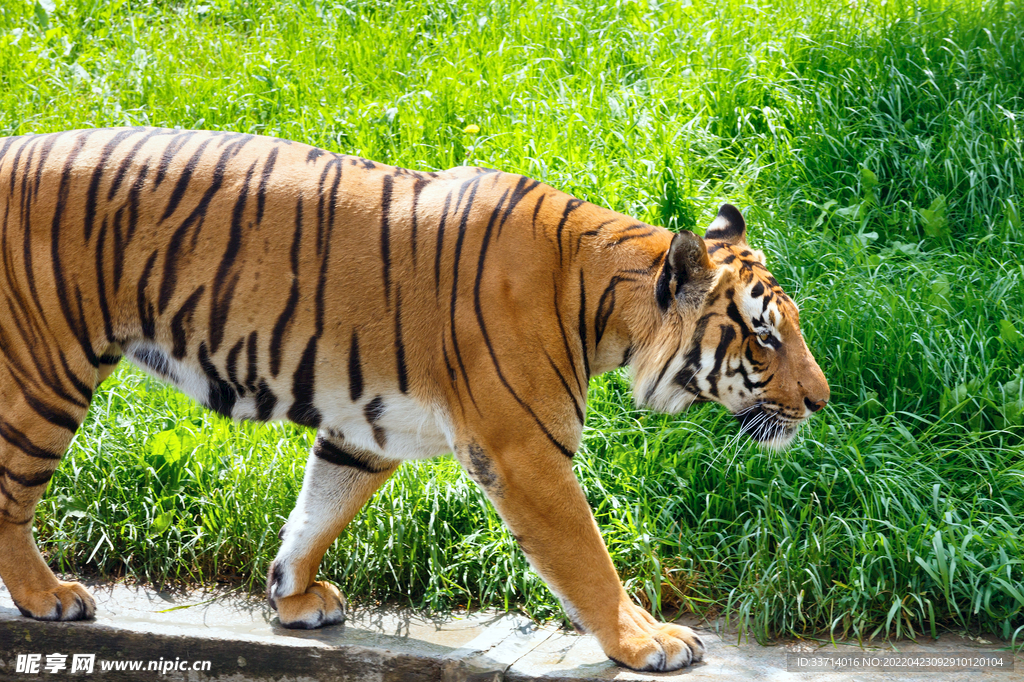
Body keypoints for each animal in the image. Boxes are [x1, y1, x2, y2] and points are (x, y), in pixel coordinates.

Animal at [0, 128, 828, 672]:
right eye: (764, 336)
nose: (822, 402)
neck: (603, 305)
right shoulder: (525, 453)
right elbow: (587, 560)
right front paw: (647, 641)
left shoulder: (361, 430)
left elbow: (318, 510)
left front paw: (290, 598)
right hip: (46, 373)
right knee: (11, 497)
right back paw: (49, 597)